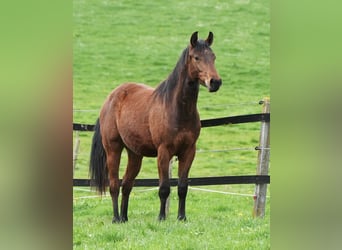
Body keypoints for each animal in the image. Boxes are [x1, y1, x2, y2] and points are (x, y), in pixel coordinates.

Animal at [89, 31, 222, 223]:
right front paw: (161, 218)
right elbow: (164, 187)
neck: (177, 109)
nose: (215, 82)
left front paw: (182, 217)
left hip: (135, 154)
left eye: (213, 57)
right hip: (113, 149)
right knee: (114, 184)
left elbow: (182, 187)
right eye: (196, 57)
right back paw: (116, 218)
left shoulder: (188, 151)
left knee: (127, 185)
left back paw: (124, 218)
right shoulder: (163, 152)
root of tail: (110, 99)